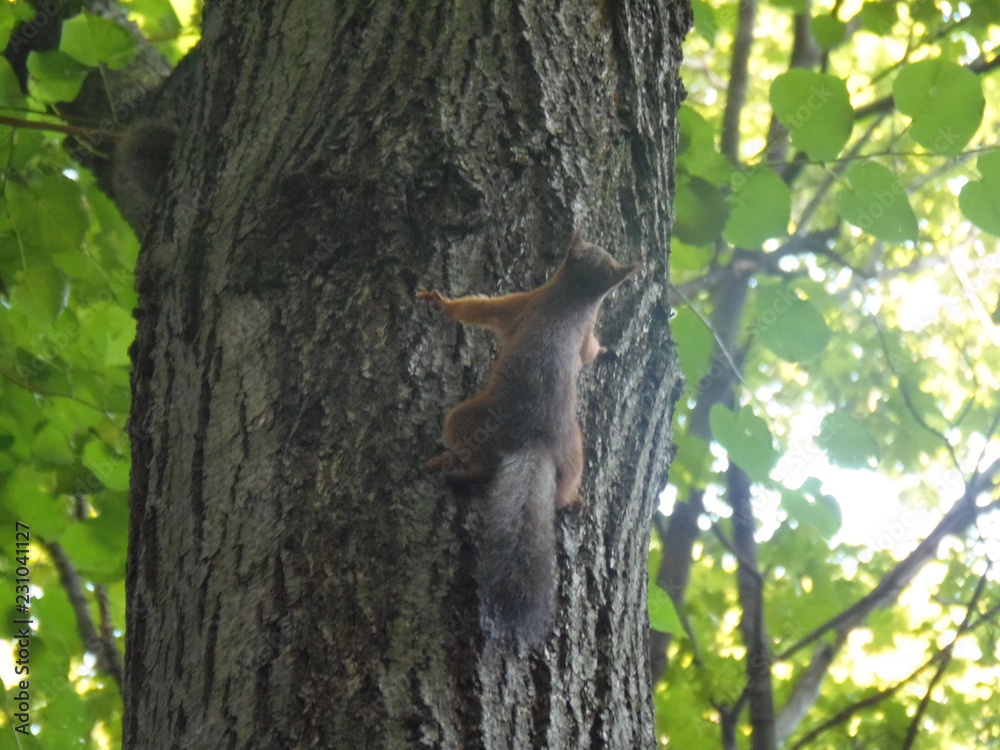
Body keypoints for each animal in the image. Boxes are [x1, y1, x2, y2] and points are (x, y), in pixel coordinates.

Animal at [417, 229, 640, 639]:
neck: (571, 301)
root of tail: (535, 443)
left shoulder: (522, 303)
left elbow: (476, 310)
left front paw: (443, 303)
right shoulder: (582, 333)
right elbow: (588, 351)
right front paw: (604, 350)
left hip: (465, 420)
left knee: (477, 460)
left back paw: (451, 465)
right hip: (575, 450)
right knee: (562, 490)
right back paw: (572, 501)